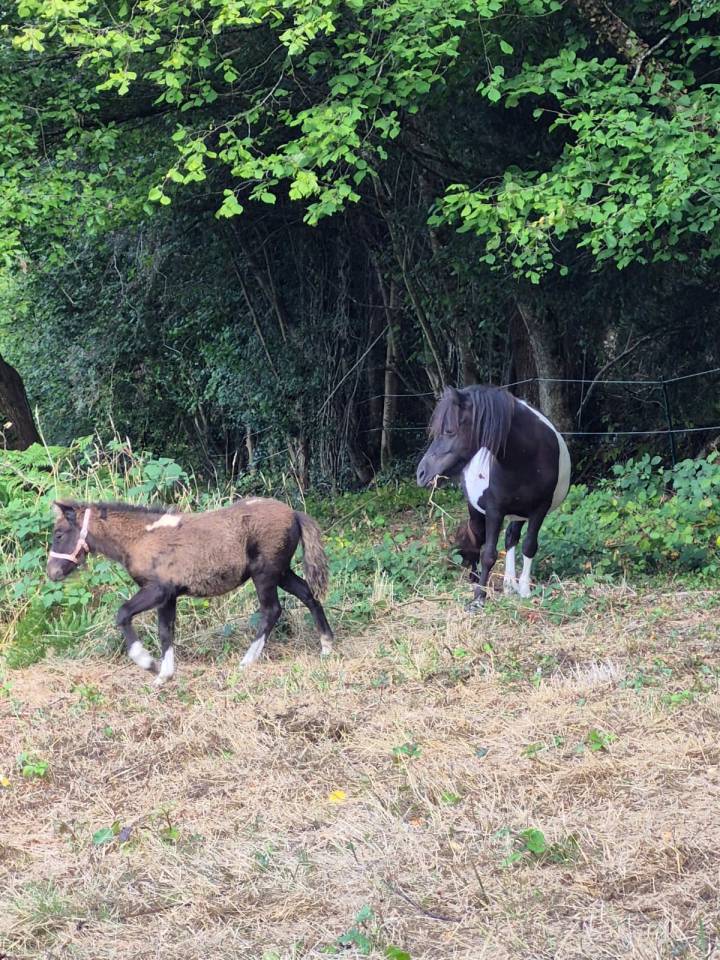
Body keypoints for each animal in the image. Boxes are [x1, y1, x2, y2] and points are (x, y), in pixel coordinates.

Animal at [46, 497, 334, 684]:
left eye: (59, 533)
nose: (52, 572)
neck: (140, 537)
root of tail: (294, 513)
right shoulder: (169, 597)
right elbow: (165, 631)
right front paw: (164, 675)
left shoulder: (157, 590)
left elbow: (123, 613)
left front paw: (148, 663)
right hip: (281, 573)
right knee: (309, 595)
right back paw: (326, 646)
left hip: (265, 574)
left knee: (272, 610)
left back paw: (247, 661)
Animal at [417, 385, 571, 607]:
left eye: (449, 431)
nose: (421, 473)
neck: (527, 456)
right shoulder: (494, 511)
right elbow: (488, 554)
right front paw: (478, 598)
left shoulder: (538, 510)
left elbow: (529, 546)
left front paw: (524, 590)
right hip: (478, 513)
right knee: (476, 540)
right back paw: (475, 577)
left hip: (519, 513)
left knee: (511, 538)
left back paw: (509, 584)